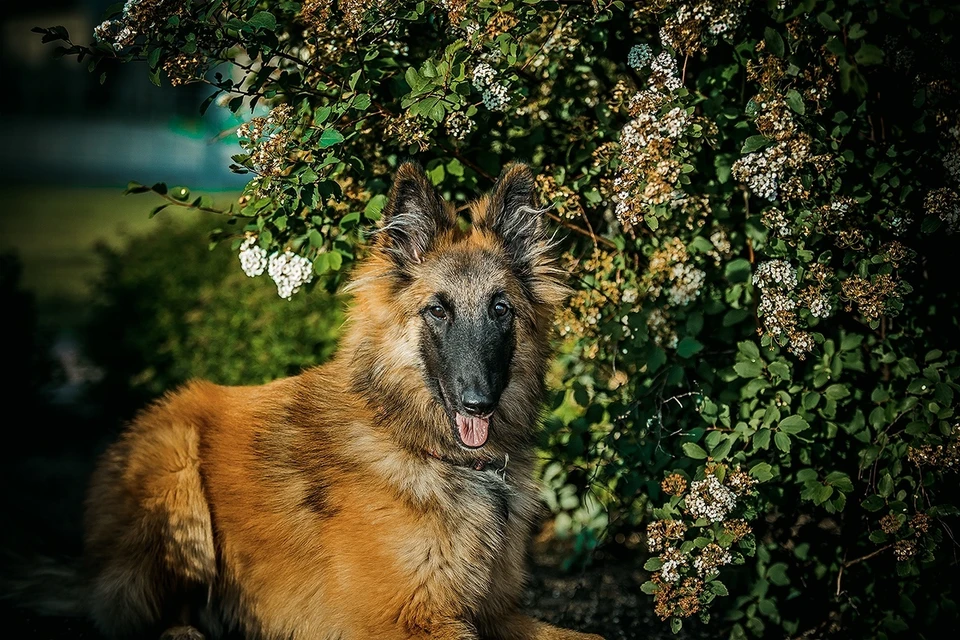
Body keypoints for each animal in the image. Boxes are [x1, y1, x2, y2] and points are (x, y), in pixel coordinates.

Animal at [84, 162, 608, 636]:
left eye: (500, 309)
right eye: (438, 311)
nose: (477, 403)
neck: (419, 445)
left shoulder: (497, 612)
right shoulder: (405, 620)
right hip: (178, 471)